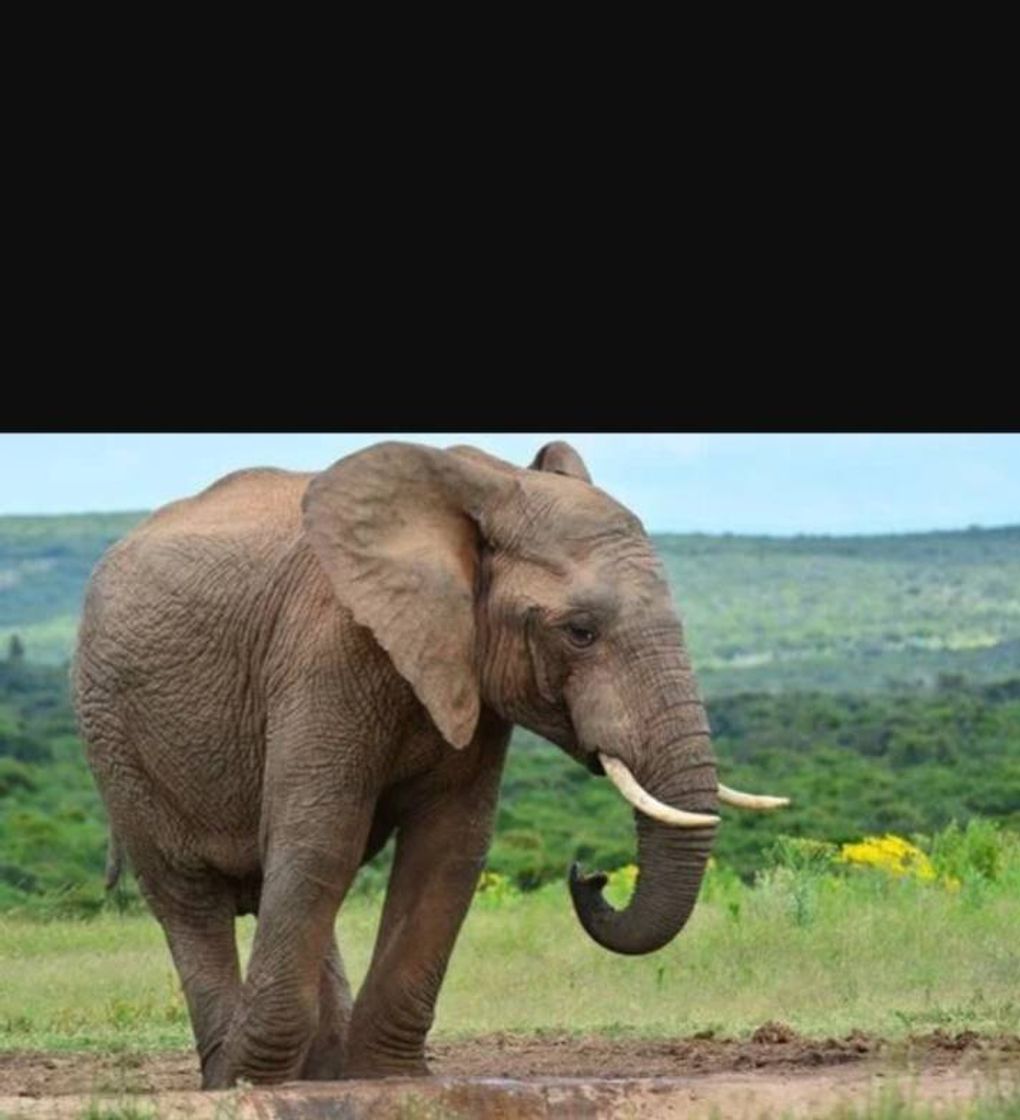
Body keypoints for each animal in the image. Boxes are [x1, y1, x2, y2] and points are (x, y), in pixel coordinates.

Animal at [72, 439, 785, 1088]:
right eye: (580, 632)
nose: (591, 875)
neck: (480, 489)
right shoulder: (326, 650)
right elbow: (321, 840)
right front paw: (256, 1086)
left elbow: (448, 849)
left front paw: (386, 1080)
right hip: (113, 729)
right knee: (190, 893)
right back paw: (232, 1077)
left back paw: (321, 1074)